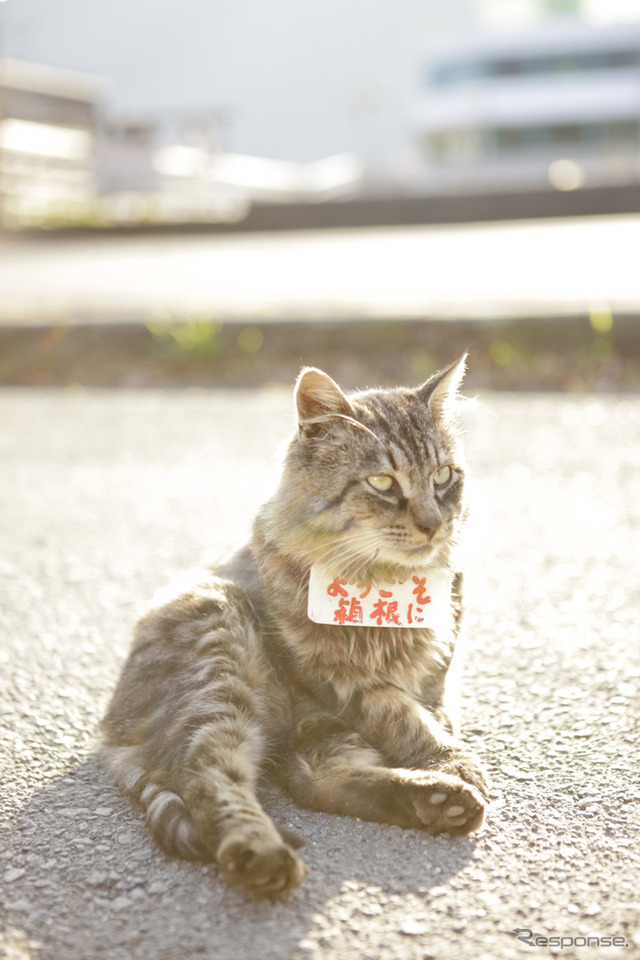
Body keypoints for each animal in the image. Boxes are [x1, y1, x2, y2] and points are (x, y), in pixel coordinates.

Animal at [100, 354, 490, 900]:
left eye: (443, 476)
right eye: (382, 483)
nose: (435, 524)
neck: (384, 585)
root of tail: (112, 730)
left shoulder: (438, 663)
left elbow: (433, 709)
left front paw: (448, 756)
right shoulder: (341, 680)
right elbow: (406, 719)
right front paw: (451, 759)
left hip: (307, 726)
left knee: (314, 781)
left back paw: (439, 802)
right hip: (222, 661)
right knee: (210, 778)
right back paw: (261, 858)